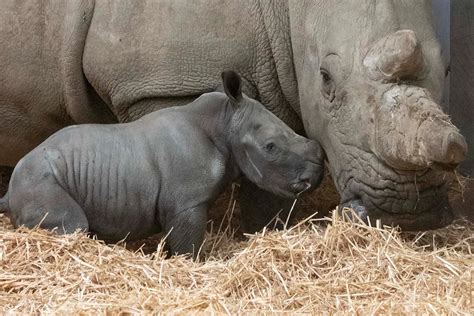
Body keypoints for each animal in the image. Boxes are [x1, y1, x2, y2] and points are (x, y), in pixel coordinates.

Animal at [0, 1, 466, 231]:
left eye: (448, 70)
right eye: (326, 78)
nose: (409, 212)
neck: (290, 10)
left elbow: (266, 175)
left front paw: (264, 233)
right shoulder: (160, 82)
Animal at [0, 72, 322, 260]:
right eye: (271, 147)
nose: (316, 174)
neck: (223, 123)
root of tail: (9, 191)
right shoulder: (186, 202)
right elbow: (188, 246)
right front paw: (194, 265)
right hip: (38, 181)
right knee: (74, 224)